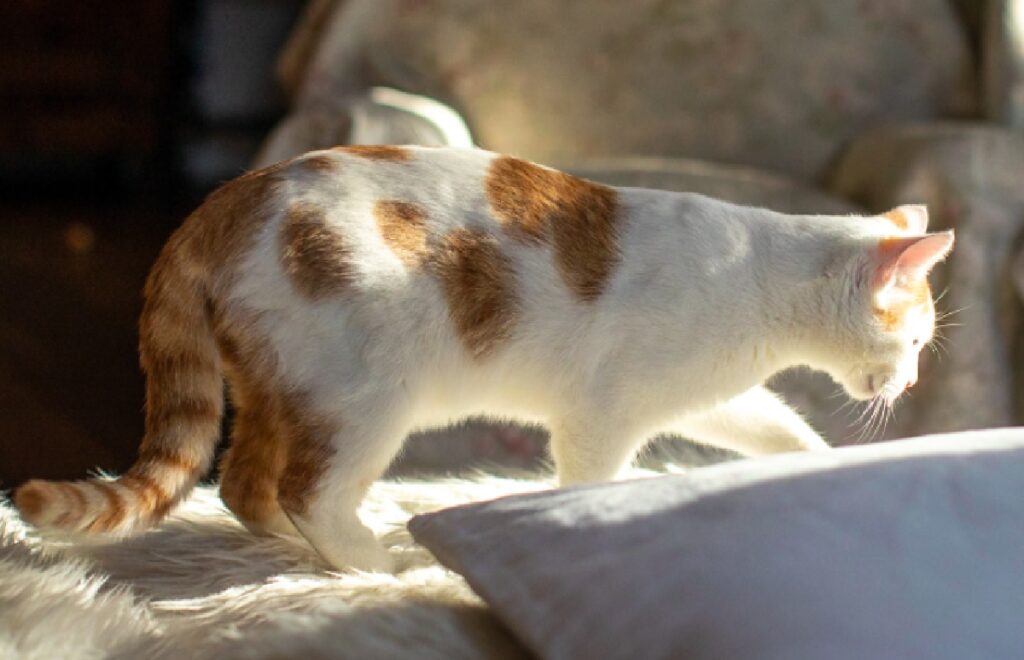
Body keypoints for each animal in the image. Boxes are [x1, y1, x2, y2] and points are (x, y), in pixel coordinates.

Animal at [12, 145, 954, 573]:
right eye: (913, 341)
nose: (911, 381)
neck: (763, 273)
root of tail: (224, 199)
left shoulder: (715, 399)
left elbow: (781, 431)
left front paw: (817, 468)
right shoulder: (602, 416)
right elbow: (589, 481)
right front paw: (574, 525)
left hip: (282, 390)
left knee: (245, 484)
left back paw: (306, 551)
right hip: (366, 400)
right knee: (304, 488)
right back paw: (376, 562)